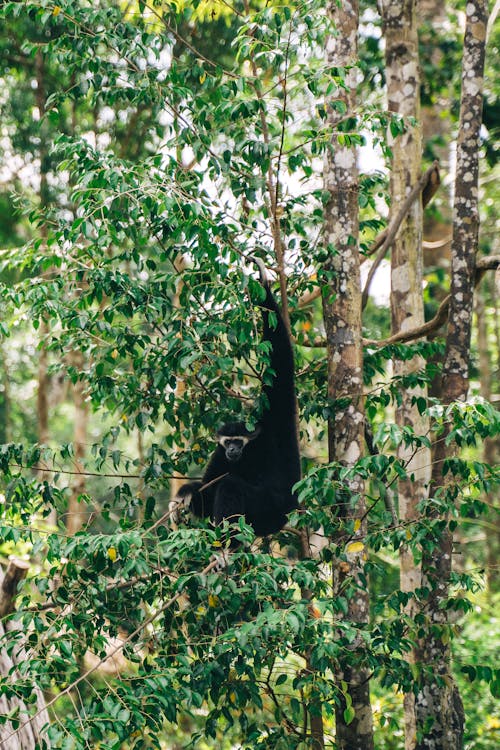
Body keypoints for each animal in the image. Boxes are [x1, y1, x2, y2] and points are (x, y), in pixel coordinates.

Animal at [168, 262, 300, 536]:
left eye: (239, 441)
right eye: (228, 441)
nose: (232, 449)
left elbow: (281, 360)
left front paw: (263, 284)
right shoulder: (220, 453)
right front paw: (185, 495)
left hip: (272, 511)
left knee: (231, 486)